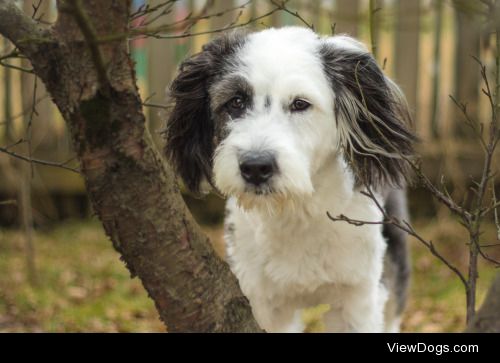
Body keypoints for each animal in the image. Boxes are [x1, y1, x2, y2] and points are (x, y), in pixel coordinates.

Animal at [163, 26, 414, 332]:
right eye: (236, 101)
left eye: (300, 104)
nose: (256, 167)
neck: (296, 209)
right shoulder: (261, 301)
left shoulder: (357, 295)